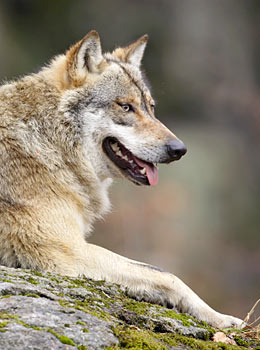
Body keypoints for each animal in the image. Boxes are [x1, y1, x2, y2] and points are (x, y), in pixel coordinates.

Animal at [0, 30, 244, 328]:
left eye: (151, 107)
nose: (179, 149)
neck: (47, 142)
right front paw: (220, 319)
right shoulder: (64, 251)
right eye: (126, 107)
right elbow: (167, 274)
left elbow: (161, 273)